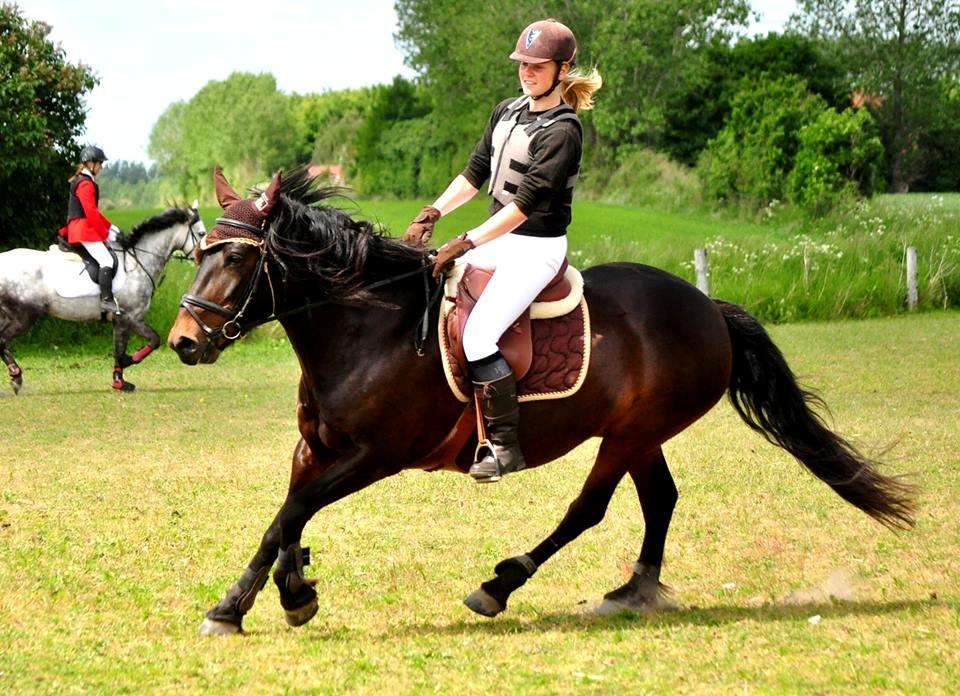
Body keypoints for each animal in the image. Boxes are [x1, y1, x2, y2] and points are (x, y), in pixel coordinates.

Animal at [0, 205, 206, 392]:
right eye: (202, 233)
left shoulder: (122, 321)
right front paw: (124, 371)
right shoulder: (129, 317)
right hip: (24, 316)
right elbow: (149, 341)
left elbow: (123, 347)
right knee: (2, 341)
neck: (137, 262)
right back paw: (16, 376)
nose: (204, 258)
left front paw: (119, 378)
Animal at [167, 169, 916, 636]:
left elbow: (296, 510)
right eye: (199, 252)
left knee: (589, 509)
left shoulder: (376, 455)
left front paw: (290, 595)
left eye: (237, 259)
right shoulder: (316, 447)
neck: (366, 326)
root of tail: (709, 308)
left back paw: (501, 585)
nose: (182, 341)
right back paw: (635, 590)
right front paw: (247, 603)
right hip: (642, 435)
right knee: (660, 499)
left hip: (628, 434)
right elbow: (282, 520)